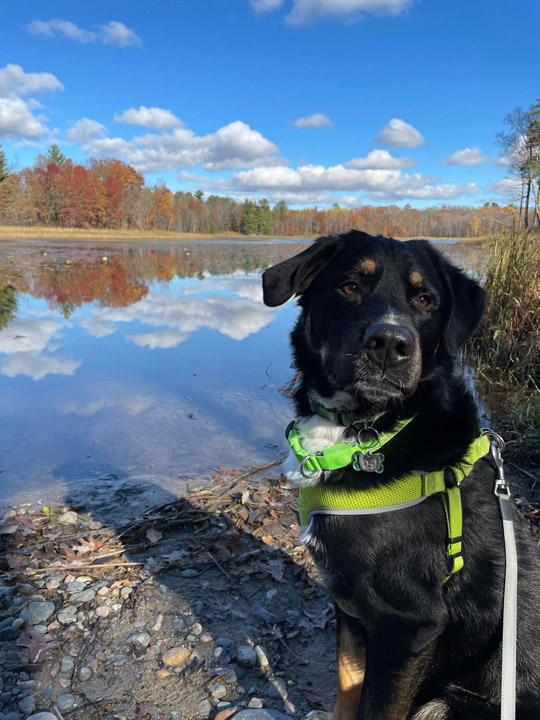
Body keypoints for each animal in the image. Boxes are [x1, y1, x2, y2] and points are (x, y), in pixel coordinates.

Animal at [262, 232, 540, 720]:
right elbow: (347, 688)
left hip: (452, 701)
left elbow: (376, 707)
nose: (390, 344)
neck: (365, 431)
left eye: (425, 299)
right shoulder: (351, 608)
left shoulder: (407, 624)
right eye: (349, 287)